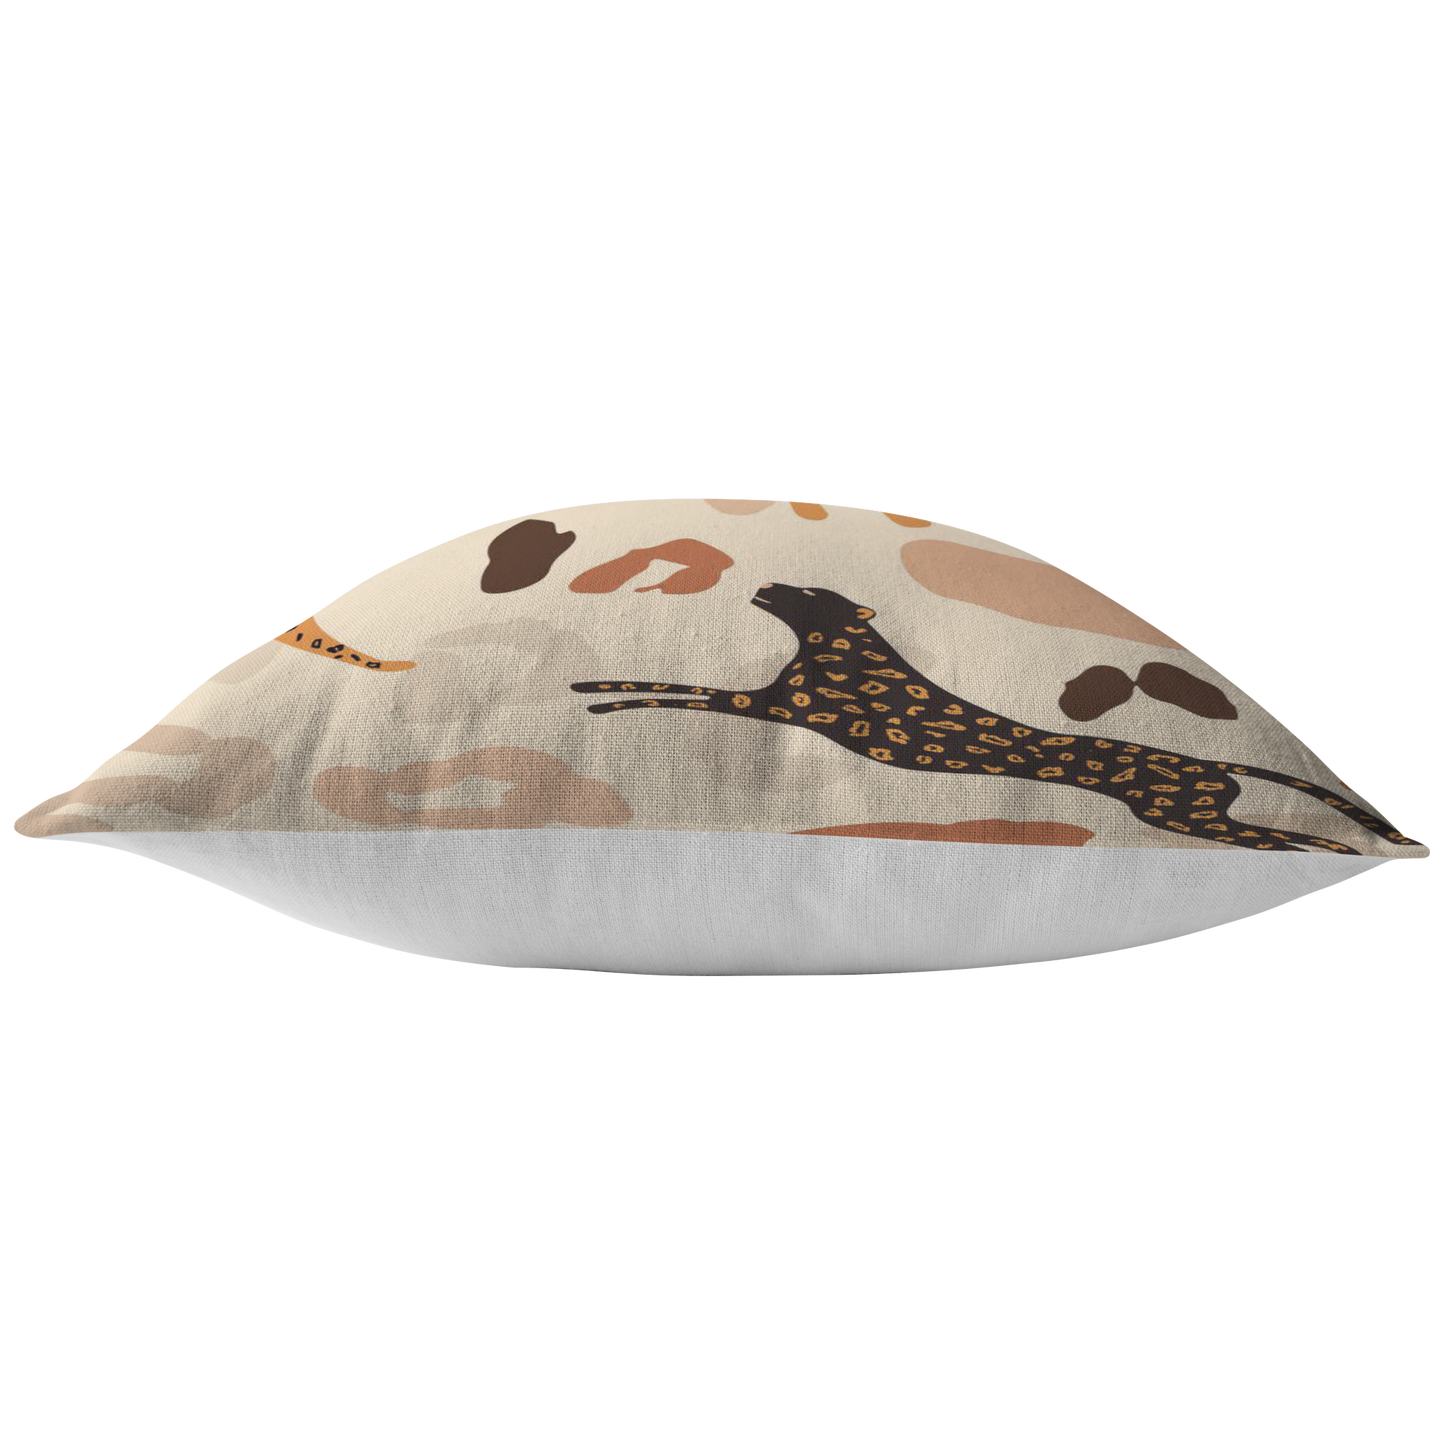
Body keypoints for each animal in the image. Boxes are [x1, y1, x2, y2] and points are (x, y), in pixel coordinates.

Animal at [572, 583, 1423, 855]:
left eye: (812, 594)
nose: (765, 585)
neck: (834, 646)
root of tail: (1213, 761)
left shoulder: (767, 706)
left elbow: (672, 690)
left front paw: (603, 695)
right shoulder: (761, 701)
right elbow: (662, 684)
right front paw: (590, 684)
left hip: (1184, 818)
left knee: (1288, 838)